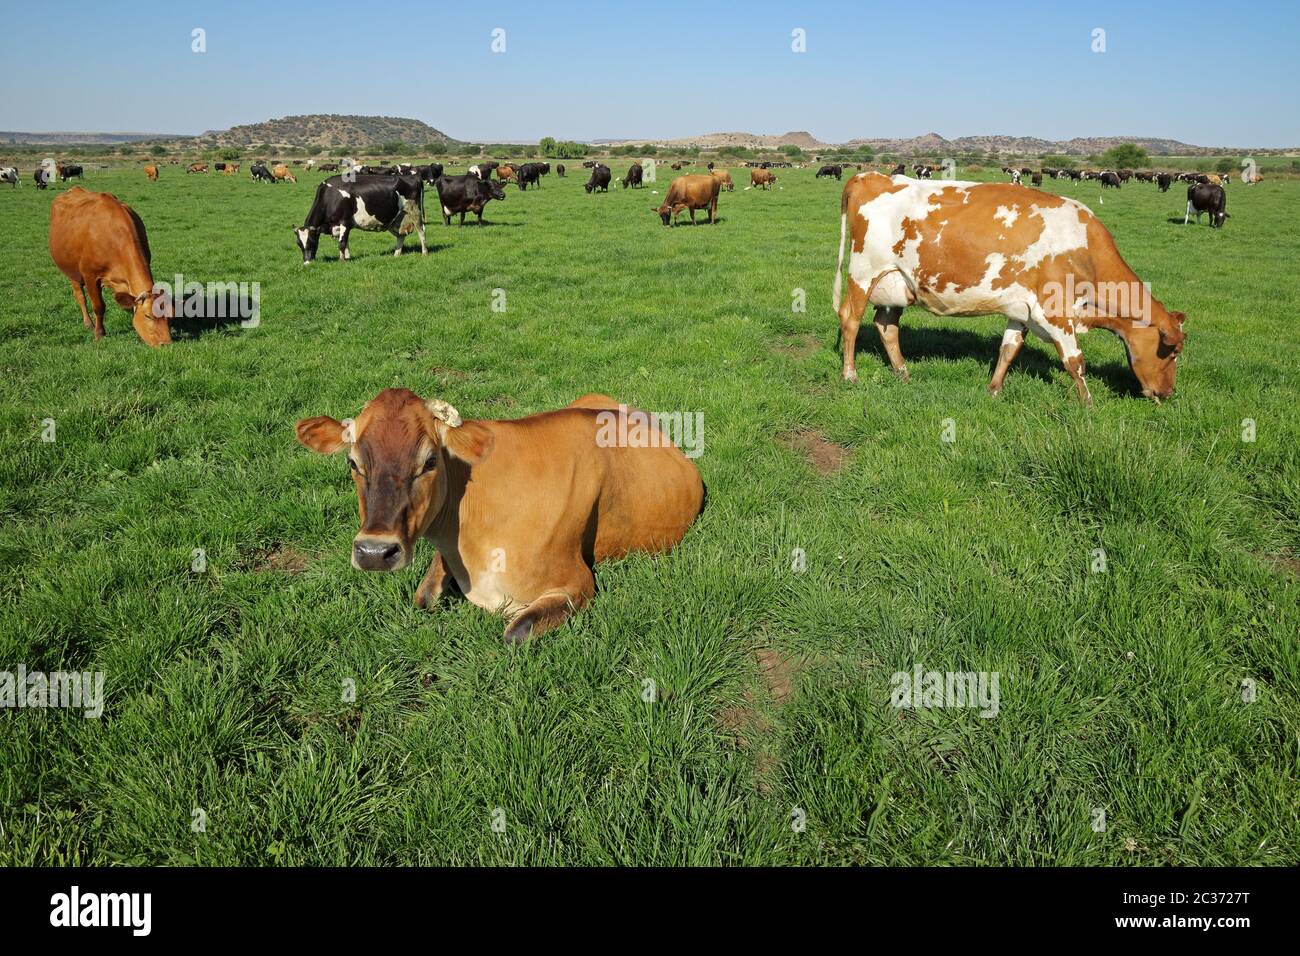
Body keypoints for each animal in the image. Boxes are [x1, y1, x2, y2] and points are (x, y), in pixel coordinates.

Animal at [48, 188, 173, 347]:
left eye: (170, 316)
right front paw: (99, 334)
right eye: (148, 316)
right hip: (71, 270)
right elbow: (99, 307)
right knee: (80, 296)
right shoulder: (90, 276)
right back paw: (88, 323)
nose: (167, 344)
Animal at [294, 173, 427, 262]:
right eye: (299, 244)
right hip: (397, 218)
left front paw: (342, 261)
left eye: (311, 242)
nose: (307, 262)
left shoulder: (345, 221)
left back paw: (424, 253)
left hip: (414, 211)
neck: (330, 196)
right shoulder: (339, 226)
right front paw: (347, 258)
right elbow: (345, 243)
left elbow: (342, 243)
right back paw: (396, 254)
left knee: (421, 231)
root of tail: (413, 176)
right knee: (401, 235)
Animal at [294, 389, 704, 643]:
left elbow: (515, 631)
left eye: (429, 461)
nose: (375, 553)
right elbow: (423, 597)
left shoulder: (577, 581)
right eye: (353, 462)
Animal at [832, 173, 1185, 404]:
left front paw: (994, 390)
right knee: (850, 319)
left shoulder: (1022, 308)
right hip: (864, 273)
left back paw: (903, 373)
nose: (1168, 393)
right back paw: (850, 375)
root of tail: (870, 175)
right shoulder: (1056, 311)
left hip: (895, 283)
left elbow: (1009, 349)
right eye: (1172, 352)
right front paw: (1088, 404)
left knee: (886, 326)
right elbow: (1075, 360)